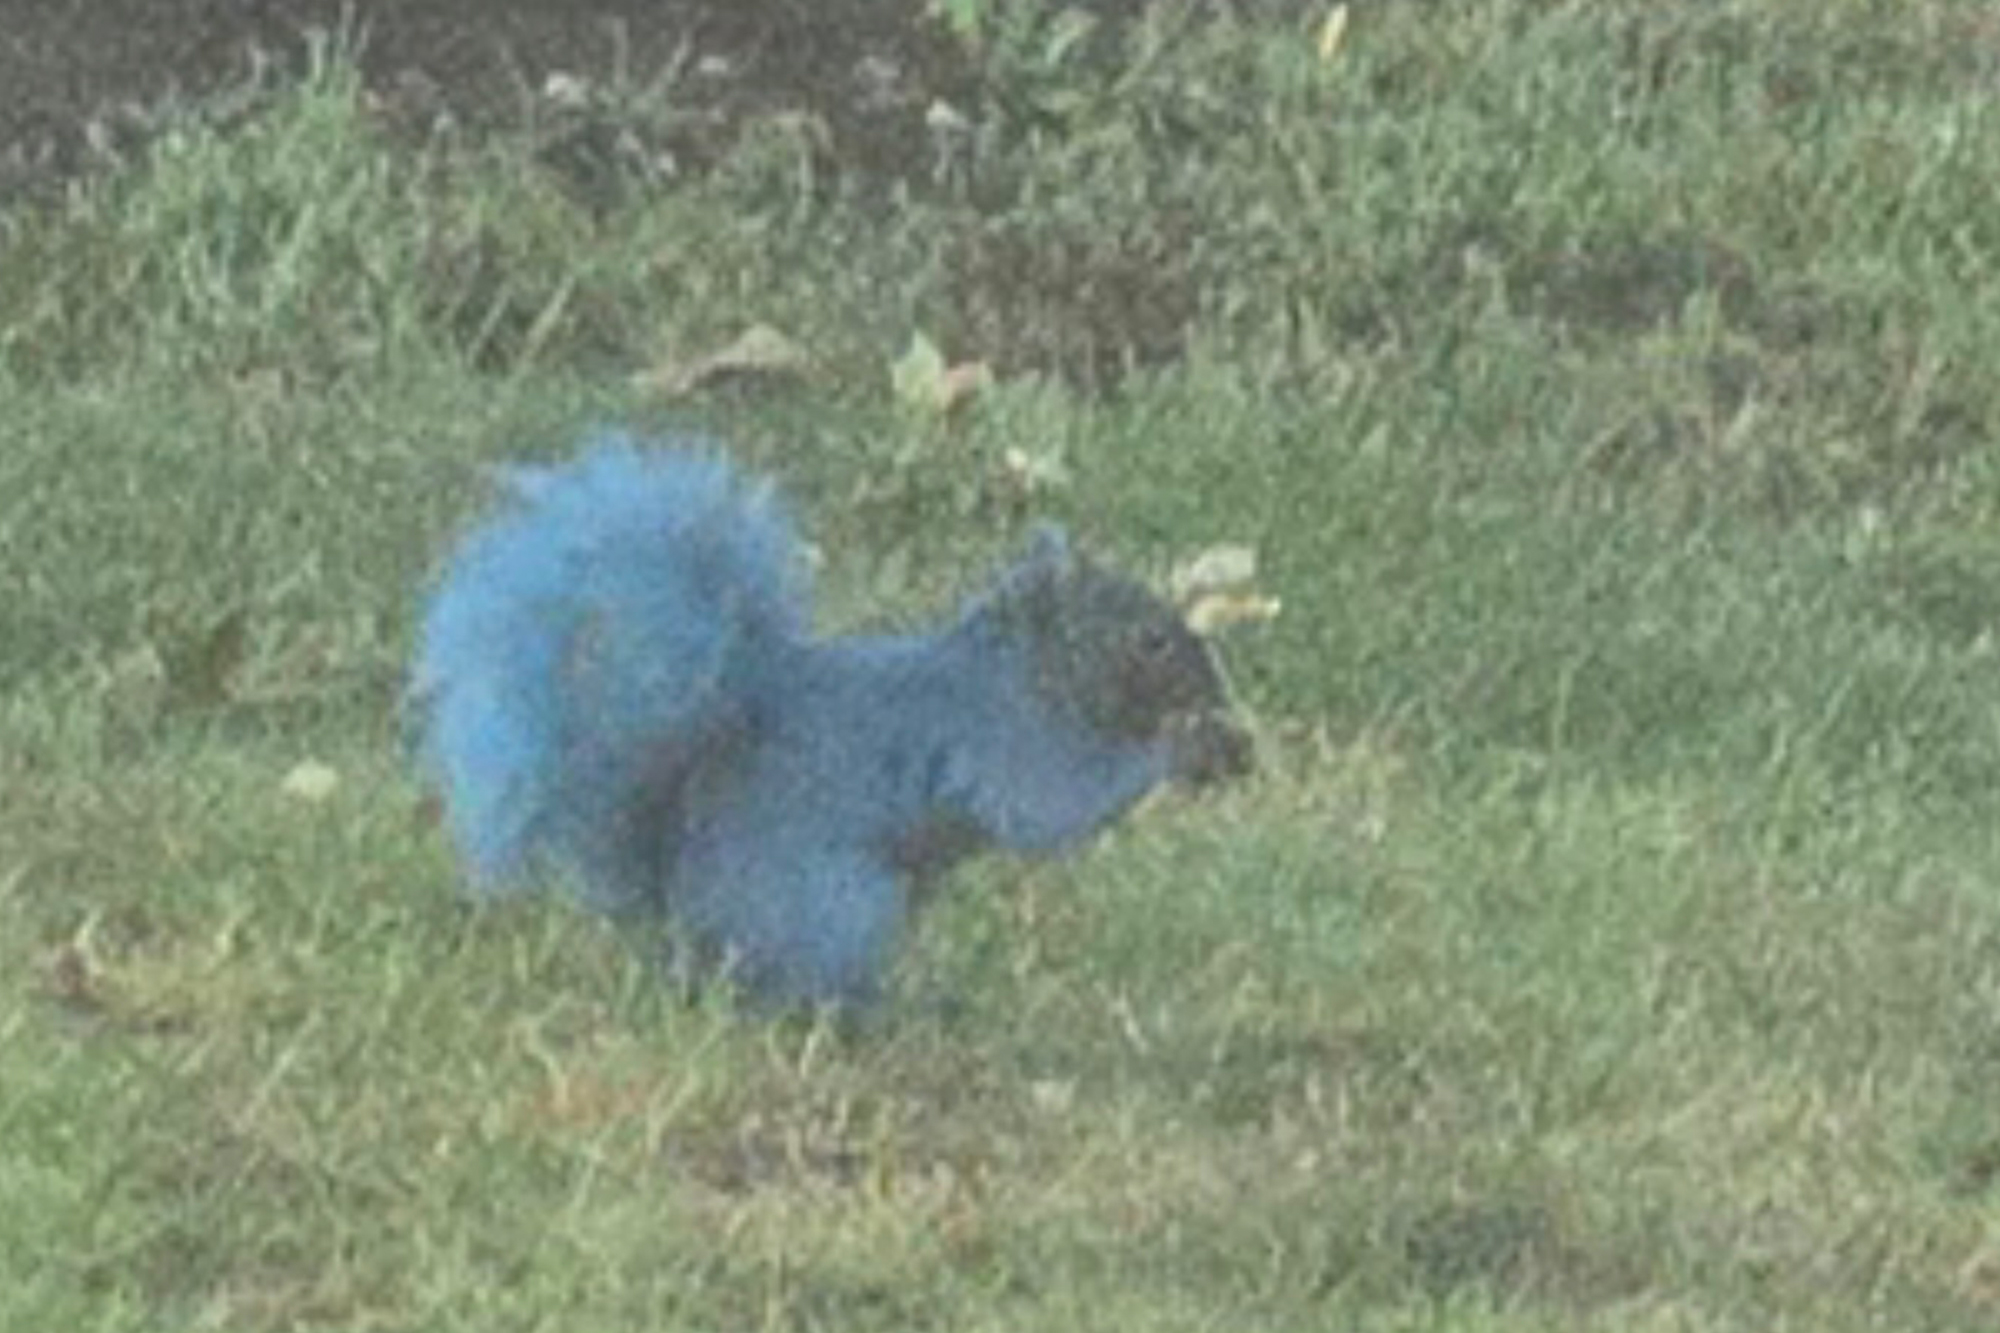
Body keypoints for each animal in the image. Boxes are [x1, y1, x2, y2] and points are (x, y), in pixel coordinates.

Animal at [411, 435, 1252, 1010]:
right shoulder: (994, 737)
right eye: (1148, 639)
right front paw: (1182, 744)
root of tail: (680, 919)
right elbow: (1051, 802)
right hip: (844, 902)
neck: (1015, 673)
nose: (1215, 685)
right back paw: (895, 1011)